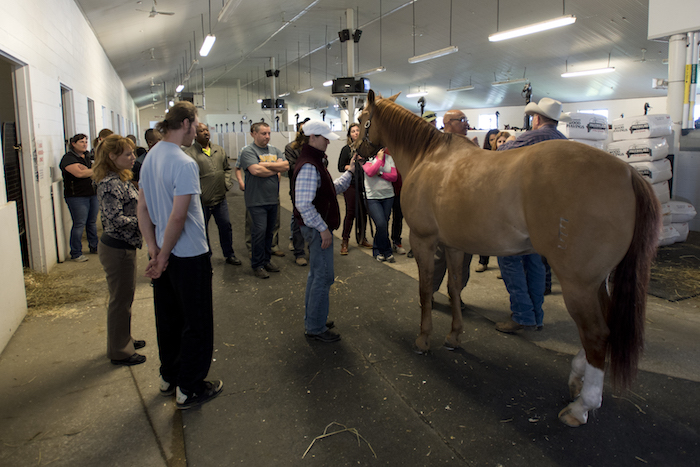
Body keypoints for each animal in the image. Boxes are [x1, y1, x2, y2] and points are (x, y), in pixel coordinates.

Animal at [356, 90, 660, 428]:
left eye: (361, 118)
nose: (356, 152)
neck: (429, 157)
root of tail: (629, 174)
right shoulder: (454, 246)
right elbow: (454, 289)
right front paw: (454, 336)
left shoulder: (425, 241)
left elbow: (425, 291)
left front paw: (424, 340)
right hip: (597, 282)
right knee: (603, 327)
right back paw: (577, 379)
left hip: (578, 285)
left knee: (596, 334)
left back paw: (582, 406)